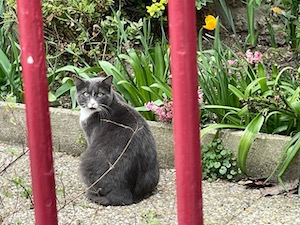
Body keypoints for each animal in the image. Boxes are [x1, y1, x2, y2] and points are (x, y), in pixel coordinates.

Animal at [73, 75, 159, 206]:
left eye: (100, 94)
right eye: (86, 94)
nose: (92, 104)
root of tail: (125, 195)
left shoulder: (91, 135)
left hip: (87, 163)